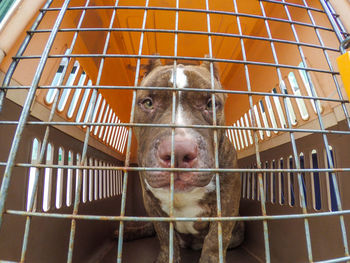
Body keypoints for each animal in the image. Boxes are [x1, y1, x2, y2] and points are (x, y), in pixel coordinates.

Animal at [133, 59, 245, 263]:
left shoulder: (227, 201)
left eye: (211, 104)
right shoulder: (151, 203)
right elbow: (164, 236)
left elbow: (215, 240)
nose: (178, 151)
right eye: (148, 103)